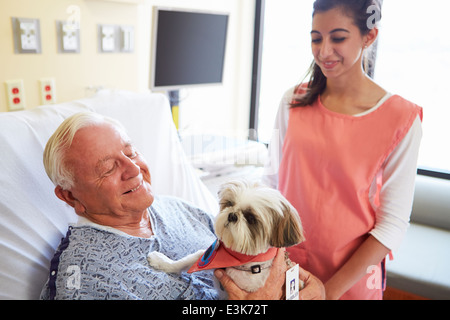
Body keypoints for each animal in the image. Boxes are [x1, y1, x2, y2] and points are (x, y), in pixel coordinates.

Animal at [148, 180, 306, 296]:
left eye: (251, 218)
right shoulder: (207, 257)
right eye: (230, 204)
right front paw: (162, 262)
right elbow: (185, 261)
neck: (238, 259)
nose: (232, 215)